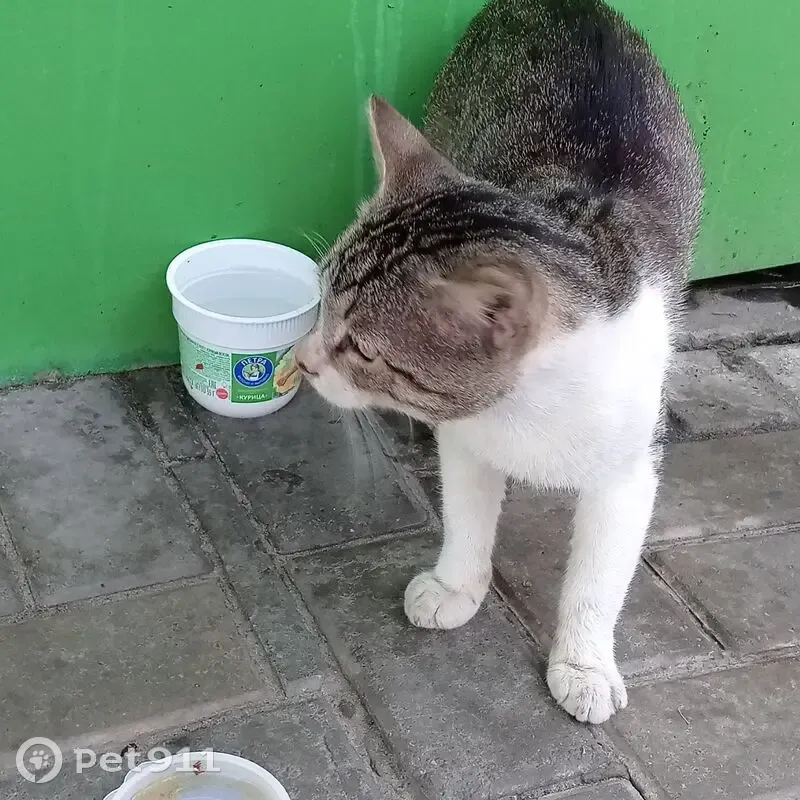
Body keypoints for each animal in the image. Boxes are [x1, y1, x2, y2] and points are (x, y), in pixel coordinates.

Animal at [295, 0, 702, 724]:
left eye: (364, 349)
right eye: (320, 301)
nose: (305, 359)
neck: (525, 410)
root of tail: (571, 5)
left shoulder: (629, 471)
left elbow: (600, 578)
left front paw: (585, 664)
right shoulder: (465, 439)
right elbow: (466, 517)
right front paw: (455, 585)